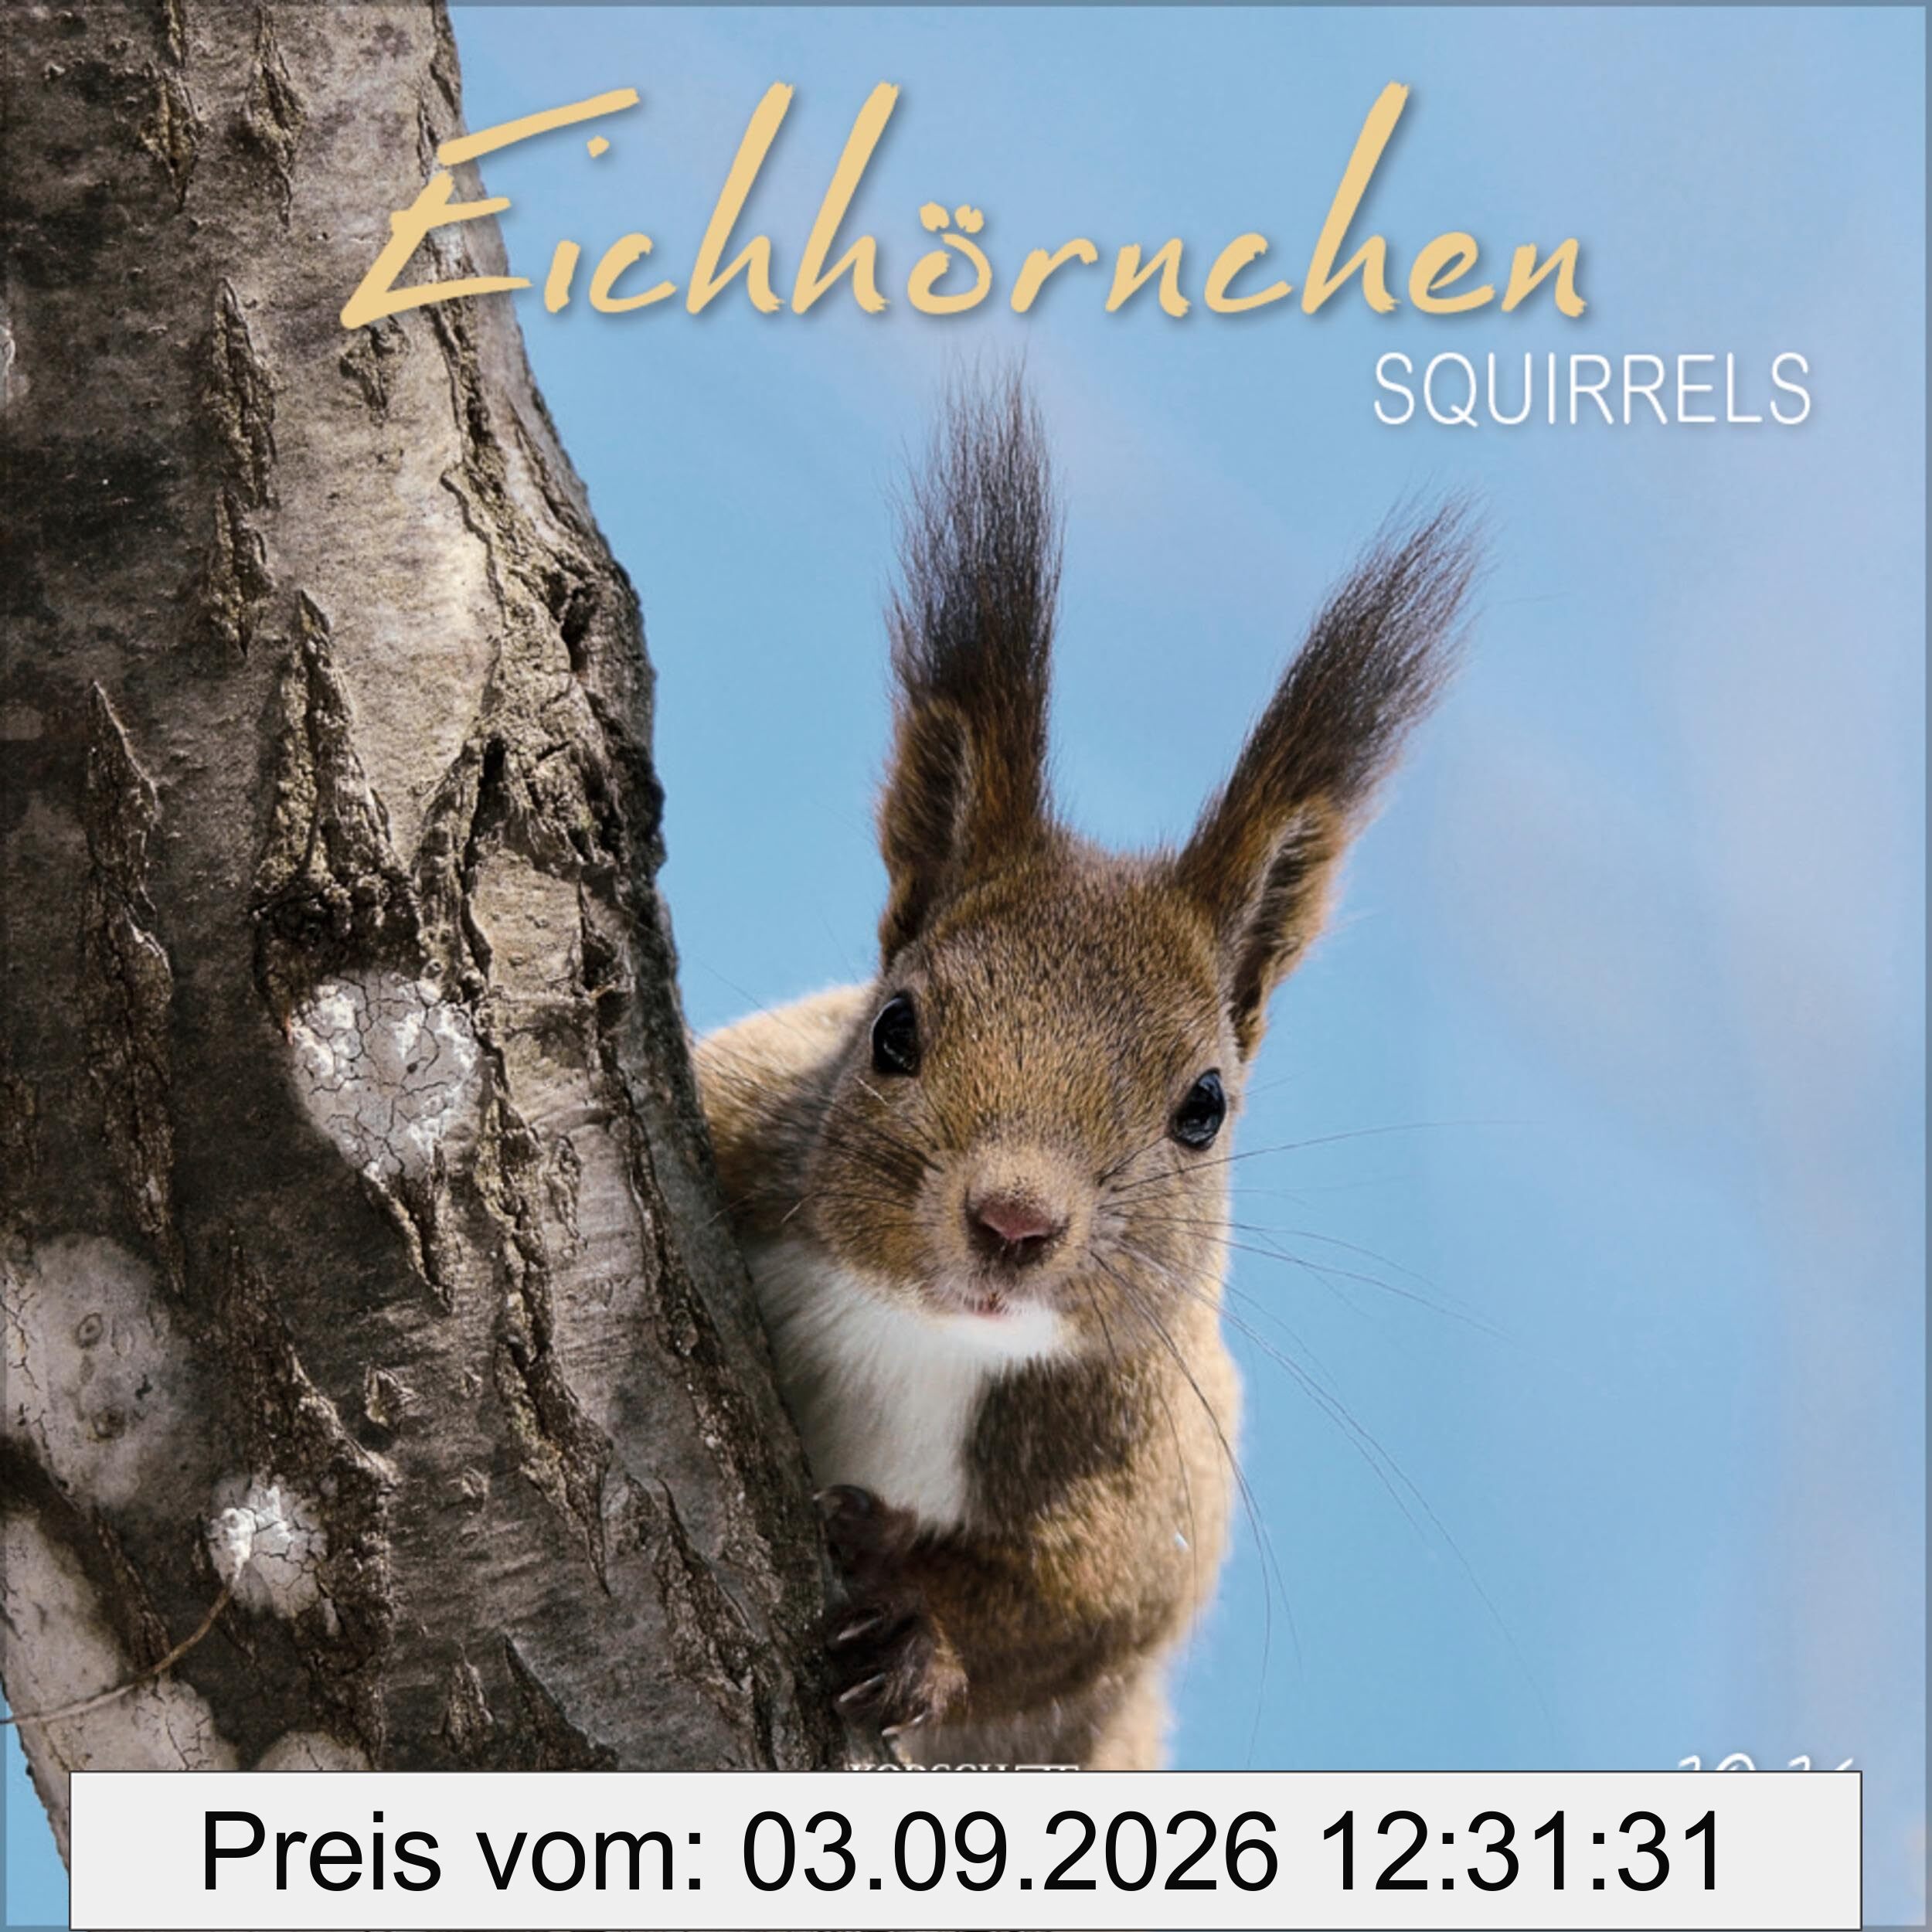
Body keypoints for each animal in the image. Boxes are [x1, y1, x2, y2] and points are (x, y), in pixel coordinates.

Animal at [695, 378, 1475, 1769]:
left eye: (1204, 1108)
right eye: (893, 1030)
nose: (1014, 1222)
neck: (931, 1336)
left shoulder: (1160, 1465)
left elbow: (1083, 1609)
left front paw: (915, 1621)